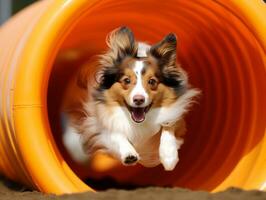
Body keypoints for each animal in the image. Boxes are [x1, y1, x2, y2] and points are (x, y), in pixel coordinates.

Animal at [62, 26, 200, 170]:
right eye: (126, 80)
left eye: (152, 81)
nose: (138, 99)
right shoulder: (98, 122)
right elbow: (115, 132)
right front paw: (129, 153)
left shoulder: (176, 114)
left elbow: (169, 125)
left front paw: (169, 156)